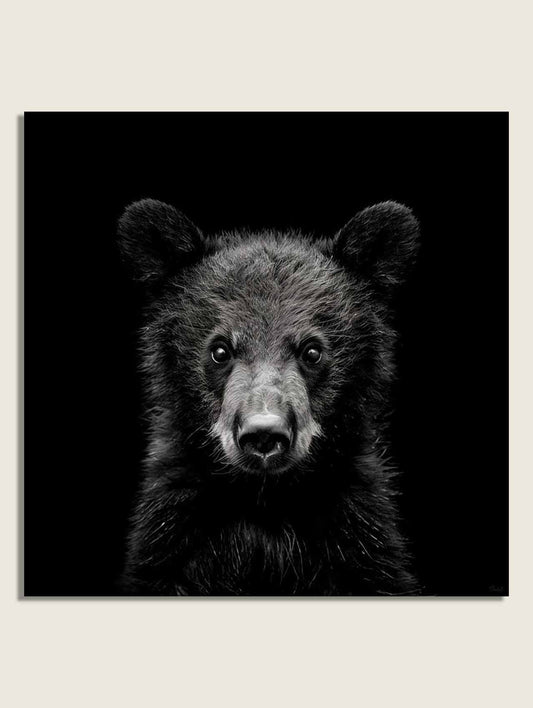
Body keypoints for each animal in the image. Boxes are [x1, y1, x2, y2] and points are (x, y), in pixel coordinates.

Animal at [117, 198, 420, 596]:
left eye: (312, 351)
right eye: (220, 350)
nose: (264, 434)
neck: (265, 502)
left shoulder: (358, 537)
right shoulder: (172, 536)